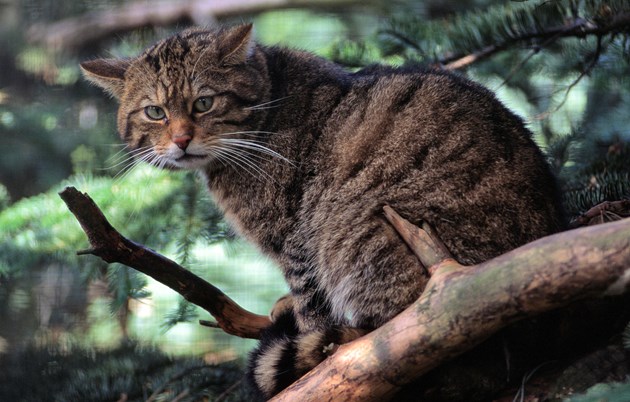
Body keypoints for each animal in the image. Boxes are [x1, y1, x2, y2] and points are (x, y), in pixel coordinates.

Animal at [80, 24, 568, 398]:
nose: (181, 140)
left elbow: (312, 301)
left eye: (204, 102)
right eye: (155, 112)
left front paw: (304, 329)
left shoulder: (295, 236)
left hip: (357, 229)